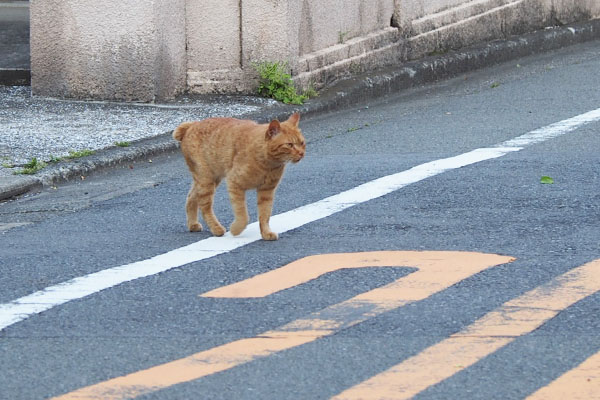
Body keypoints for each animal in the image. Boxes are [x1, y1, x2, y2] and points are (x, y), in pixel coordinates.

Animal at [173, 112, 304, 241]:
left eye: (302, 143)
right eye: (290, 145)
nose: (302, 153)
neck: (268, 164)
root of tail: (192, 125)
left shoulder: (266, 191)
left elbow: (265, 215)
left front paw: (266, 233)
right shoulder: (234, 184)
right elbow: (243, 215)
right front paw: (236, 229)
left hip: (210, 179)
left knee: (191, 197)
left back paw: (192, 224)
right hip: (206, 180)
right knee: (205, 207)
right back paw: (216, 228)